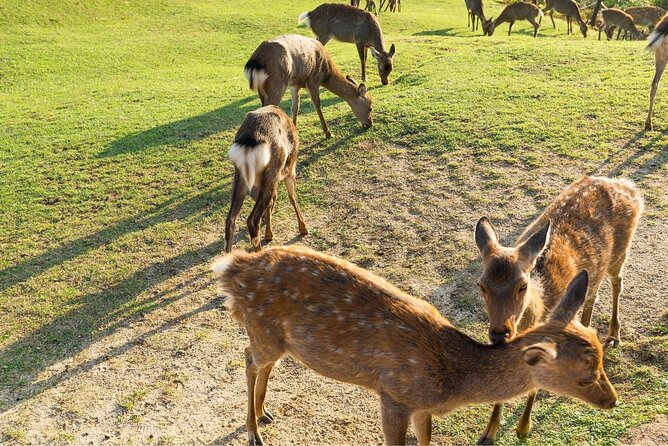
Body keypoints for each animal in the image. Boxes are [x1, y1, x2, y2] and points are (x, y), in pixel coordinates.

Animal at [214, 247, 616, 446]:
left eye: (601, 359)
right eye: (583, 376)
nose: (612, 400)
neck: (450, 382)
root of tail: (230, 268)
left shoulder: (421, 406)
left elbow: (425, 440)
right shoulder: (394, 395)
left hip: (277, 338)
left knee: (262, 362)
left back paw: (264, 413)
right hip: (262, 329)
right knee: (248, 358)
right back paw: (253, 433)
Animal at [224, 105, 308, 254]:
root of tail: (250, 140)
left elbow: (272, 203)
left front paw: (269, 234)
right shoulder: (290, 170)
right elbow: (292, 197)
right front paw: (303, 228)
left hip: (240, 177)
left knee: (230, 220)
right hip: (271, 174)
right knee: (252, 221)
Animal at [244, 34, 374, 139]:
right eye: (370, 107)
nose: (369, 124)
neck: (327, 74)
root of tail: (254, 63)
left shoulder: (295, 84)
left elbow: (295, 106)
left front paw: (294, 130)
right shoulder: (313, 81)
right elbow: (317, 105)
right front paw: (328, 133)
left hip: (262, 90)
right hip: (277, 84)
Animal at [472, 176, 644, 444]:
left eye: (522, 286)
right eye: (482, 285)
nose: (500, 333)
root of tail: (627, 186)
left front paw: (523, 427)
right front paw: (488, 433)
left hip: (621, 251)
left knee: (618, 282)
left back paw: (614, 334)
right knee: (592, 294)